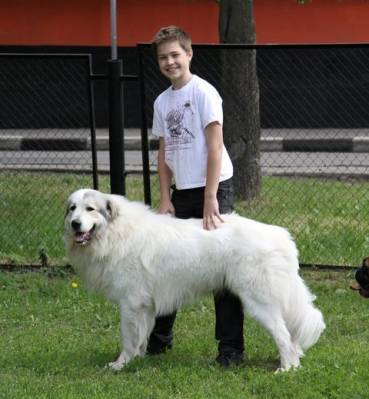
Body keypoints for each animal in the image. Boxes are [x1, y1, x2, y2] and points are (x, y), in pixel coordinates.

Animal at [64, 189, 324, 374]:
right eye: (72, 208)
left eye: (90, 209)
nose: (75, 224)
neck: (116, 232)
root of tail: (282, 237)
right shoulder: (144, 306)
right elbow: (141, 337)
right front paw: (137, 361)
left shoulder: (131, 303)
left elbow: (127, 338)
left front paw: (120, 365)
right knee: (289, 334)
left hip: (260, 303)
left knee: (282, 334)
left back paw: (287, 368)